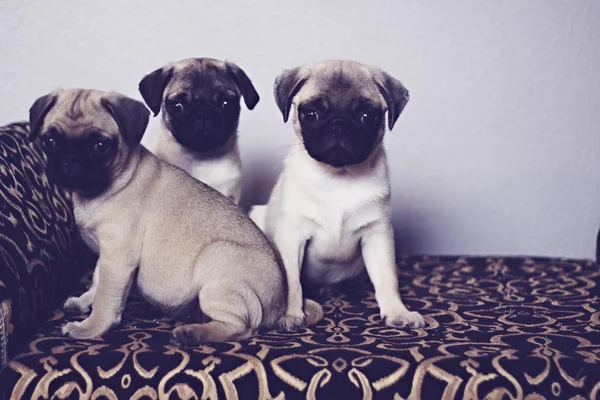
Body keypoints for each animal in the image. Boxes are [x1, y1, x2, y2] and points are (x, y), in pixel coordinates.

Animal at [28, 89, 316, 346]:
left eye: (100, 146)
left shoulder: (118, 258)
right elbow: (97, 280)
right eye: (49, 142)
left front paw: (90, 327)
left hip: (216, 264)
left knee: (241, 327)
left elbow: (106, 297)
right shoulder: (106, 254)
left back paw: (191, 334)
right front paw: (84, 300)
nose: (70, 158)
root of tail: (278, 305)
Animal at [251, 61, 424, 332]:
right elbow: (292, 281)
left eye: (367, 116)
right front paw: (289, 315)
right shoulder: (292, 234)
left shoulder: (377, 234)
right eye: (311, 115)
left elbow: (388, 278)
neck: (339, 176)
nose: (339, 125)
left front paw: (398, 312)